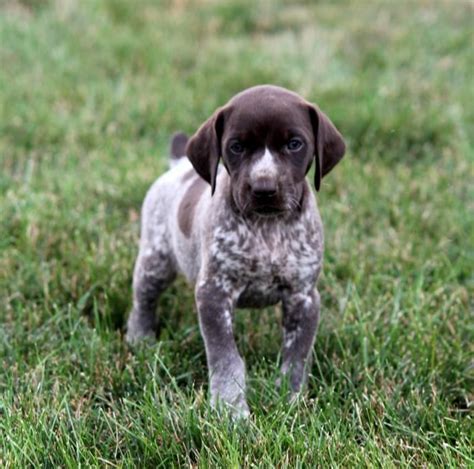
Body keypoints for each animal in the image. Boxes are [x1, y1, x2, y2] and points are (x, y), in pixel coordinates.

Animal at [128, 84, 346, 416]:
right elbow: (226, 357)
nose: (264, 189)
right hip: (155, 260)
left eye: (295, 144)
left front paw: (290, 401)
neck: (268, 229)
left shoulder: (304, 297)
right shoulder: (213, 293)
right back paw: (140, 339)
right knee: (143, 300)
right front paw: (231, 411)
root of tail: (179, 166)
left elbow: (296, 357)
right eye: (236, 146)